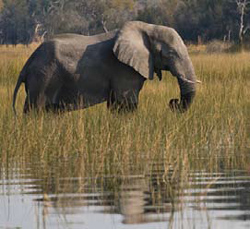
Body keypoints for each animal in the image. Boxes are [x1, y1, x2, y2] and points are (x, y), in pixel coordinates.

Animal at [12, 21, 197, 114]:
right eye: (170, 53)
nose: (174, 102)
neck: (148, 27)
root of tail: (27, 63)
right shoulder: (123, 69)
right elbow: (126, 104)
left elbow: (115, 104)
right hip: (42, 78)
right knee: (35, 109)